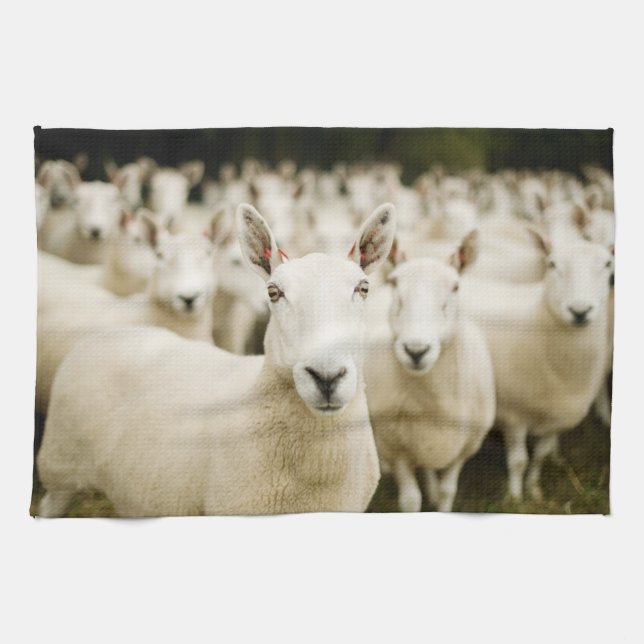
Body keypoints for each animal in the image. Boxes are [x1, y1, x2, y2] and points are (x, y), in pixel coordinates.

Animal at [364, 232, 495, 512]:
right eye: (394, 283)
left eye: (456, 287)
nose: (416, 350)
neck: (433, 399)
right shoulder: (395, 449)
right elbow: (411, 500)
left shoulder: (464, 448)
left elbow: (448, 491)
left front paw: (440, 498)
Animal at [460, 233, 614, 501]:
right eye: (552, 264)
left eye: (607, 264)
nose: (580, 311)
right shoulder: (514, 415)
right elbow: (518, 461)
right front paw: (515, 498)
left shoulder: (556, 416)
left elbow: (540, 455)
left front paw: (534, 491)